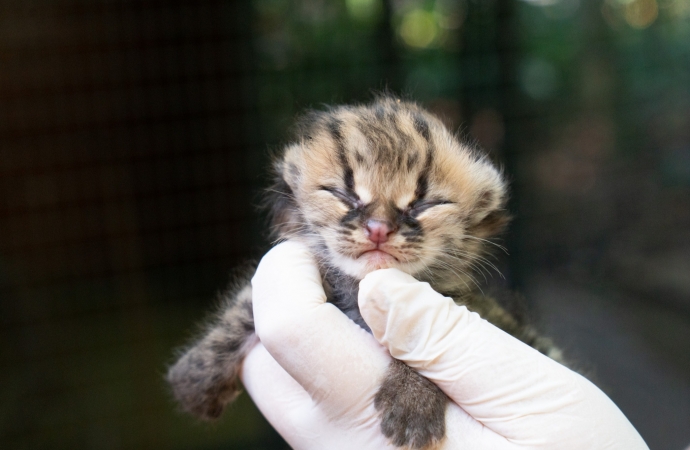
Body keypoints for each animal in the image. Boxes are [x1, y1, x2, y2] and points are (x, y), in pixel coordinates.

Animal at [167, 96, 560, 448]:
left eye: (424, 204)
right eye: (343, 193)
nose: (378, 229)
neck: (359, 289)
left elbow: (422, 339)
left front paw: (412, 401)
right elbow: (243, 307)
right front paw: (197, 374)